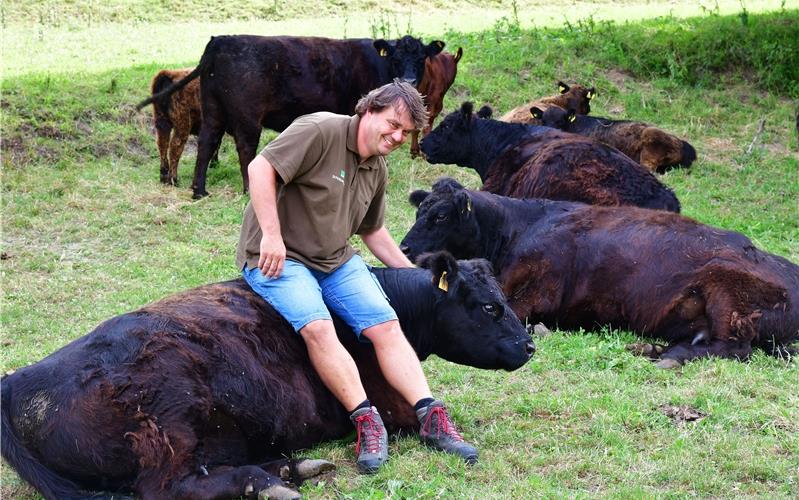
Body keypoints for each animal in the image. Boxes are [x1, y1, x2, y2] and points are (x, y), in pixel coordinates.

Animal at [3, 254, 536, 500]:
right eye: (490, 307)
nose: (530, 346)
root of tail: (17, 379)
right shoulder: (387, 400)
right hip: (170, 419)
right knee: (170, 487)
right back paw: (263, 482)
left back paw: (288, 467)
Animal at [134, 32, 440, 197]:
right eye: (396, 57)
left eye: (421, 57)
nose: (410, 80)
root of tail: (220, 41)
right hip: (247, 116)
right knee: (245, 149)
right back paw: (248, 190)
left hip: (212, 110)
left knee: (206, 144)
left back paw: (199, 190)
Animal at [404, 178, 799, 366]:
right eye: (419, 211)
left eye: (440, 216)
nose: (405, 247)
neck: (519, 228)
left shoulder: (534, 293)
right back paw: (651, 348)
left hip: (728, 294)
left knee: (733, 348)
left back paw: (669, 357)